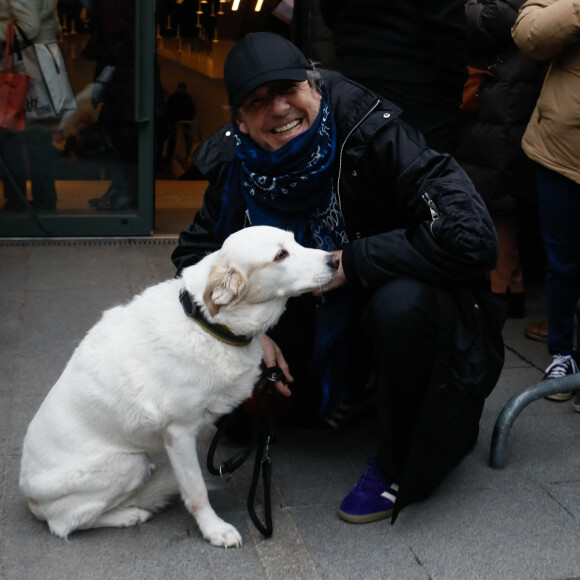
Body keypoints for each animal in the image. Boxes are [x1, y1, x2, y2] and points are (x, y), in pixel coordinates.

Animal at [20, 227, 338, 548]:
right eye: (280, 255)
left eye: (295, 240)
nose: (336, 260)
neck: (207, 324)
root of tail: (31, 500)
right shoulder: (179, 433)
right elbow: (197, 491)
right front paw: (213, 529)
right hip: (129, 463)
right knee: (66, 523)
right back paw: (129, 514)